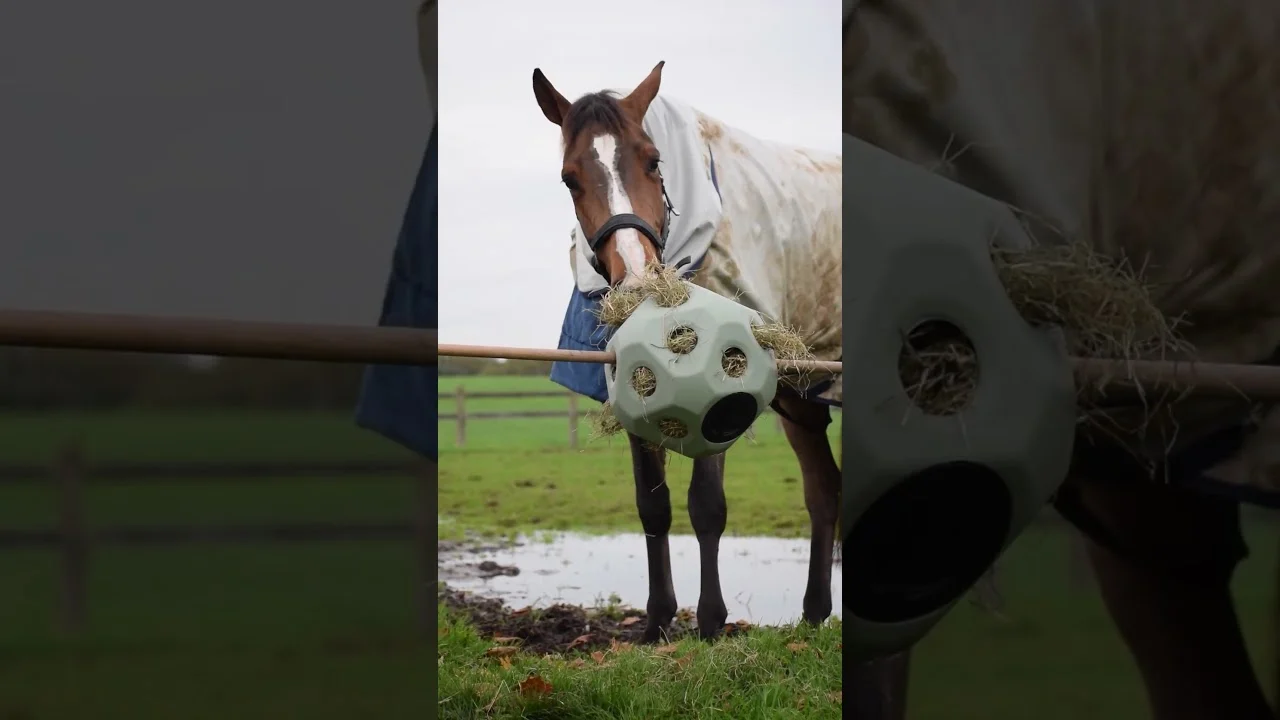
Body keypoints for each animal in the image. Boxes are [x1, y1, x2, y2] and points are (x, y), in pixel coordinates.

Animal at [532, 62, 843, 643]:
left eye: (654, 162)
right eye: (569, 178)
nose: (637, 279)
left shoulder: (724, 396)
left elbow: (706, 506)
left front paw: (711, 621)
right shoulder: (634, 397)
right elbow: (653, 506)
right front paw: (657, 622)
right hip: (802, 399)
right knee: (823, 489)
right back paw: (814, 615)